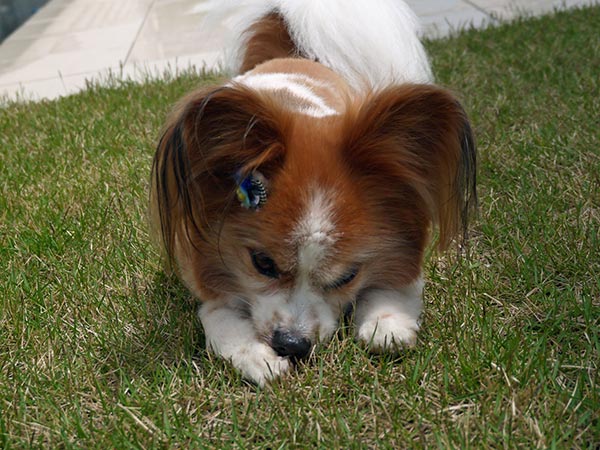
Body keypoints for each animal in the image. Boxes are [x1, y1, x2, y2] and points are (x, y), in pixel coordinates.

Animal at [151, 0, 478, 386]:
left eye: (347, 276)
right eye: (262, 263)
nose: (292, 344)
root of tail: (290, 57)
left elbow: (395, 289)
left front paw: (387, 322)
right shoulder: (206, 275)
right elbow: (222, 326)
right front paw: (259, 359)